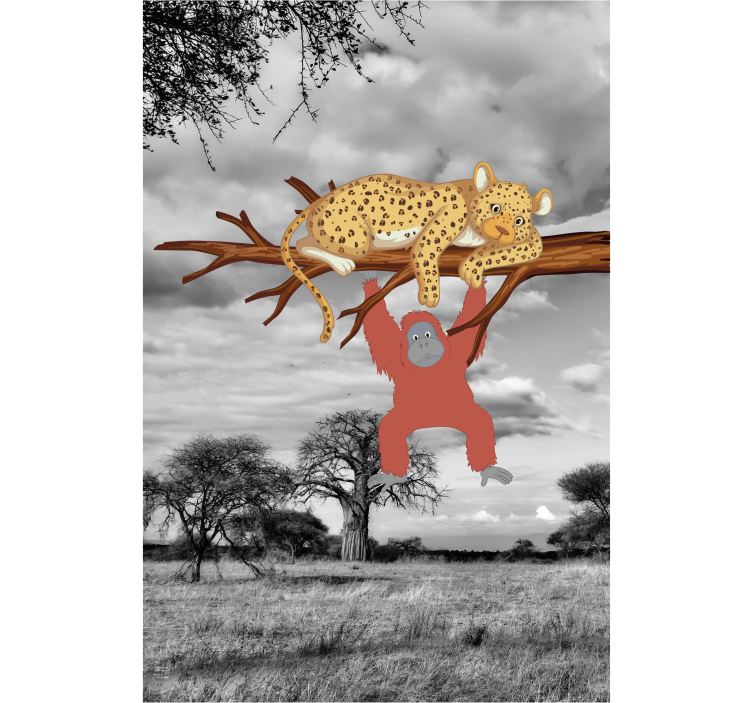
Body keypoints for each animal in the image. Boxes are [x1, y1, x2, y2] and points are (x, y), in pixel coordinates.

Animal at [279, 161, 552, 342]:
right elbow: (426, 253)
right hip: (356, 239)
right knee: (303, 242)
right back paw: (342, 264)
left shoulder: (533, 241)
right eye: (495, 208)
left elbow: (511, 249)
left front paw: (472, 267)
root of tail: (319, 201)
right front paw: (430, 295)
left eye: (519, 221)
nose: (502, 230)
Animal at [358, 277, 513, 493]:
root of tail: (433, 422)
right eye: (414, 337)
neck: (429, 370)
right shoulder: (394, 359)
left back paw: (487, 469)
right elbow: (379, 327)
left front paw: (475, 278)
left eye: (427, 334)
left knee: (480, 422)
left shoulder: (457, 352)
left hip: (458, 412)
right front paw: (372, 290)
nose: (422, 342)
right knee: (390, 430)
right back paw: (393, 476)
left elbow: (472, 319)